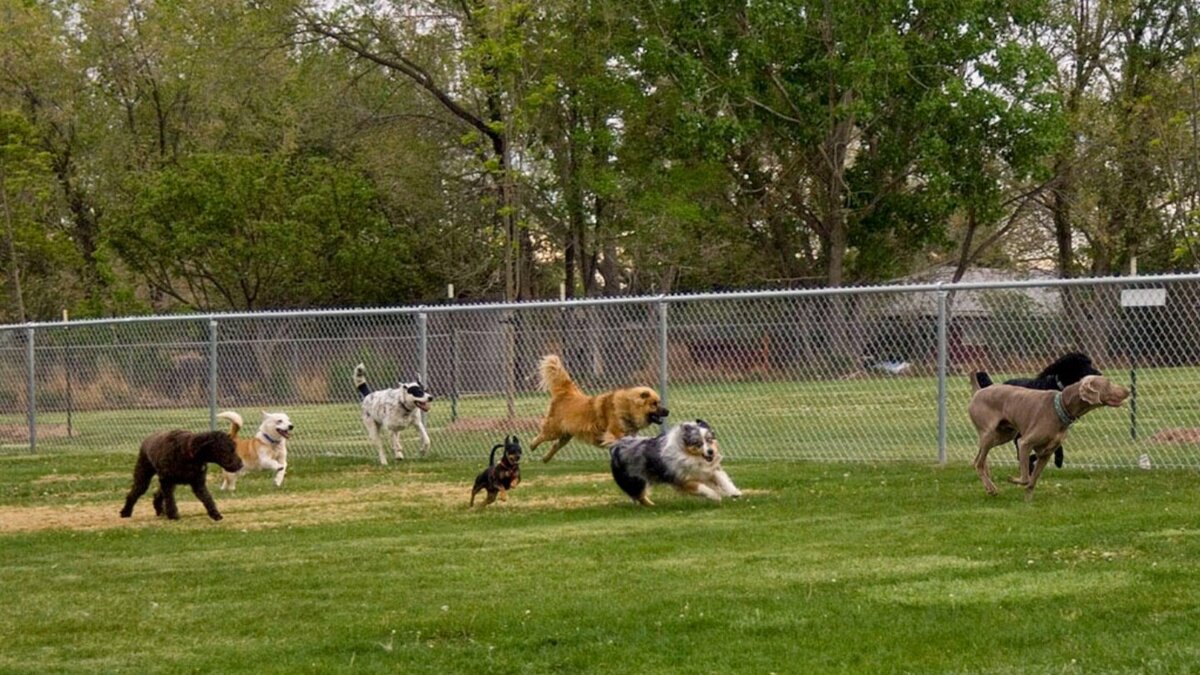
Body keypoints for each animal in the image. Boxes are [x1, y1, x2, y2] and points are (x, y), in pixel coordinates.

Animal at [532, 355, 672, 458]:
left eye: (659, 402)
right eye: (654, 404)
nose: (668, 411)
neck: (627, 407)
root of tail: (568, 392)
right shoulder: (614, 434)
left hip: (565, 435)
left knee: (555, 445)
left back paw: (545, 458)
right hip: (553, 430)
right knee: (541, 436)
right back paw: (532, 446)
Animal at [609, 415, 739, 504]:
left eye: (710, 440)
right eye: (698, 443)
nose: (711, 452)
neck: (691, 456)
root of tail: (616, 445)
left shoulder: (709, 470)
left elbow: (723, 480)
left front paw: (734, 492)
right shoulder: (682, 480)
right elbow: (702, 488)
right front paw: (715, 496)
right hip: (635, 480)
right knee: (639, 496)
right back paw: (652, 506)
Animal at [969, 369, 1128, 497]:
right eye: (1108, 383)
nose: (1128, 391)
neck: (1060, 407)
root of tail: (978, 391)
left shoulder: (1047, 453)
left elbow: (1032, 482)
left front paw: (1027, 502)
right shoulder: (1024, 443)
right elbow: (1026, 478)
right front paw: (1013, 479)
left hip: (1005, 434)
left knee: (981, 458)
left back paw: (989, 484)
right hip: (990, 433)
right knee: (978, 462)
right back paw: (991, 487)